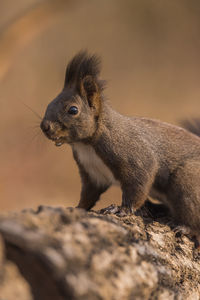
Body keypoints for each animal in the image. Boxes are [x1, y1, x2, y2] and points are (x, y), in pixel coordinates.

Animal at [39, 51, 200, 243]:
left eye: (73, 110)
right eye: (49, 104)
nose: (45, 126)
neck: (86, 145)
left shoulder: (134, 156)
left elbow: (138, 186)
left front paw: (121, 209)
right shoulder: (92, 174)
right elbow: (88, 195)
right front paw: (77, 208)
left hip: (187, 180)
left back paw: (185, 227)